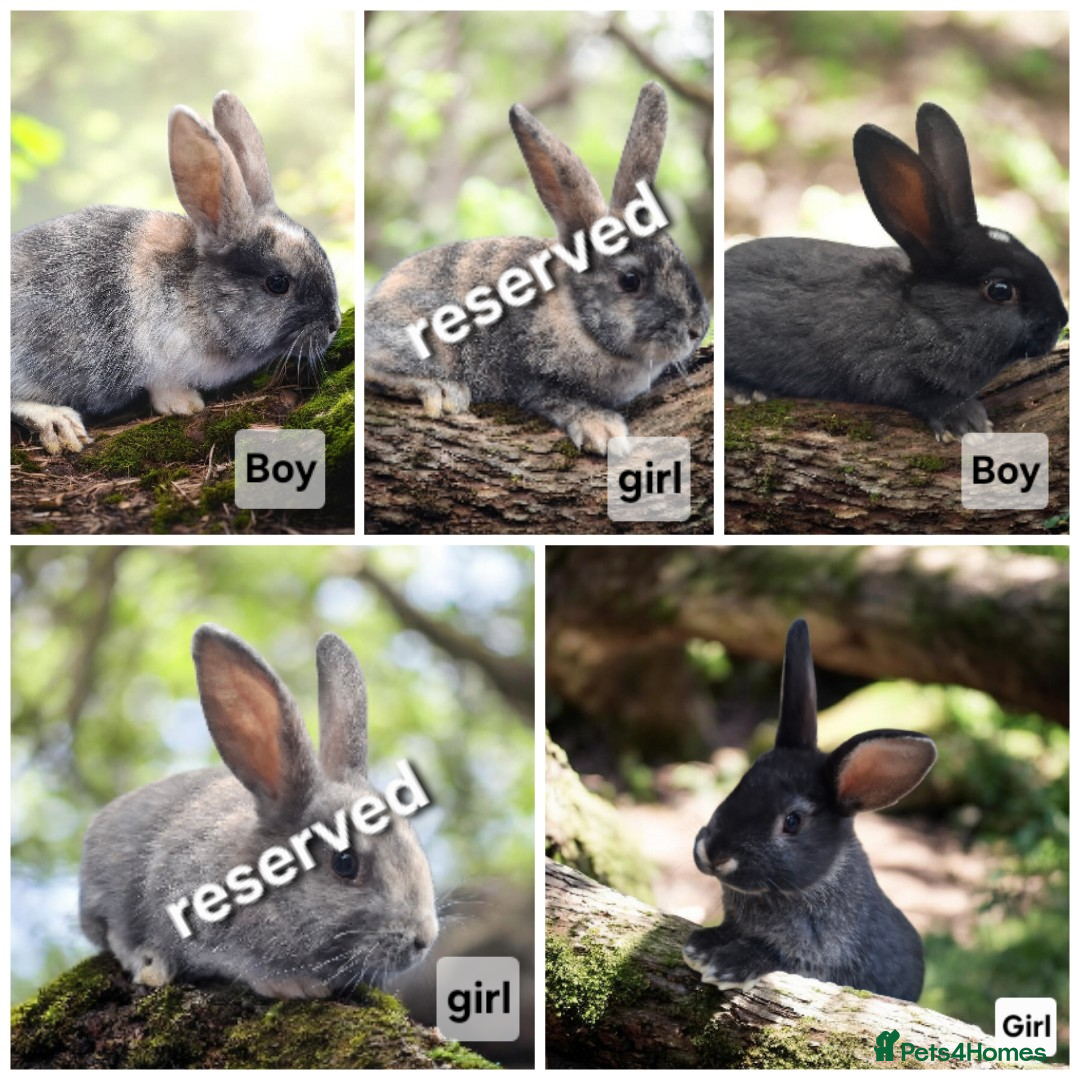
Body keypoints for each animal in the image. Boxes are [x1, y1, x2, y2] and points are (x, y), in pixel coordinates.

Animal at [12, 92, 341, 455]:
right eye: (278, 283)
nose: (334, 324)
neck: (199, 297)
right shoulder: (160, 361)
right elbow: (164, 388)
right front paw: (185, 405)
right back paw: (58, 422)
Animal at [365, 82, 709, 455]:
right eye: (630, 280)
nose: (697, 329)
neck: (577, 316)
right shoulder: (525, 372)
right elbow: (557, 398)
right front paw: (602, 431)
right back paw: (440, 389)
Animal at [683, 618, 936, 1002]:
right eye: (743, 782)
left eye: (792, 821)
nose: (712, 854)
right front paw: (700, 944)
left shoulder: (818, 957)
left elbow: (777, 955)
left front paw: (726, 966)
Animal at [725, 103, 1068, 441]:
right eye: (1000, 290)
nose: (1061, 320)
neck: (926, 316)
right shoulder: (885, 370)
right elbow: (924, 396)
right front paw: (969, 423)